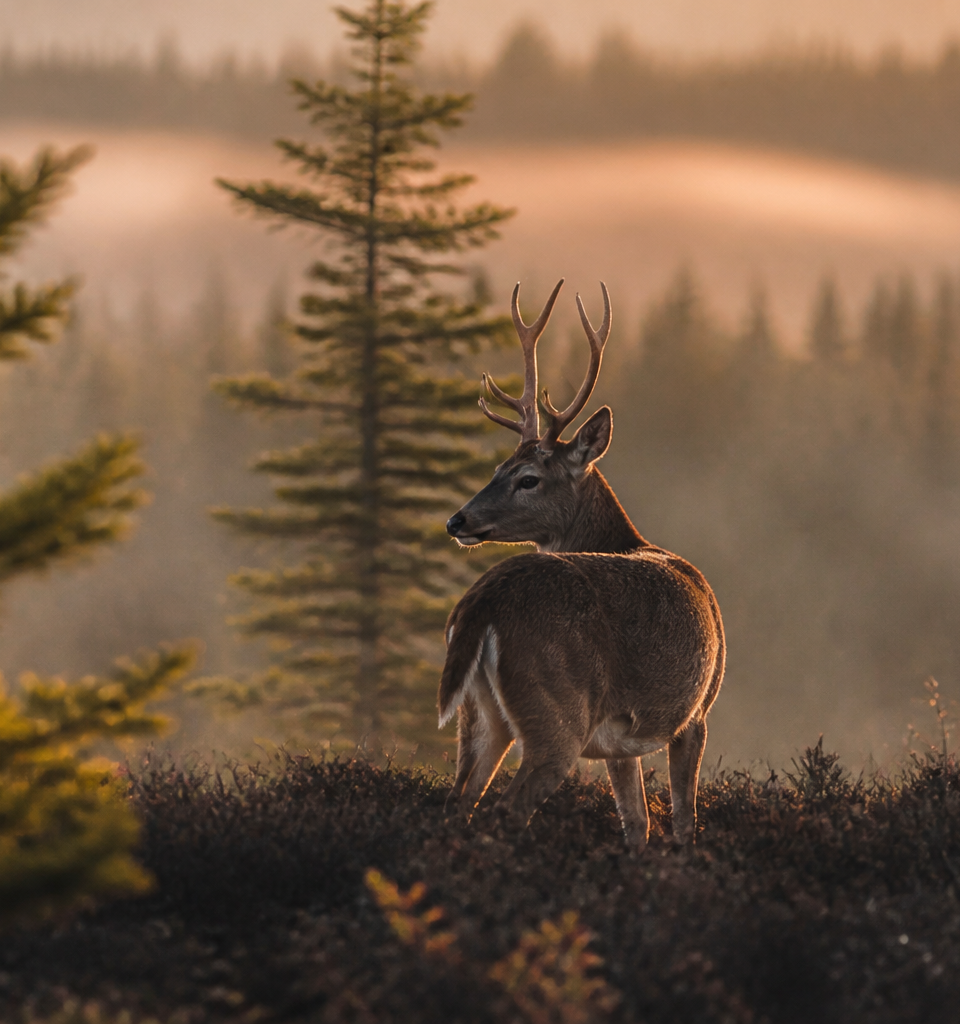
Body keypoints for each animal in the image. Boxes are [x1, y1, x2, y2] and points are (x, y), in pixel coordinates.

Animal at [439, 279, 725, 852]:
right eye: (500, 469)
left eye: (524, 476)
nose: (457, 520)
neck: (630, 542)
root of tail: (481, 606)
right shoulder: (697, 712)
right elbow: (684, 822)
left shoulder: (621, 742)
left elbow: (637, 823)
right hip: (556, 712)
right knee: (504, 810)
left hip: (478, 716)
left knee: (455, 805)